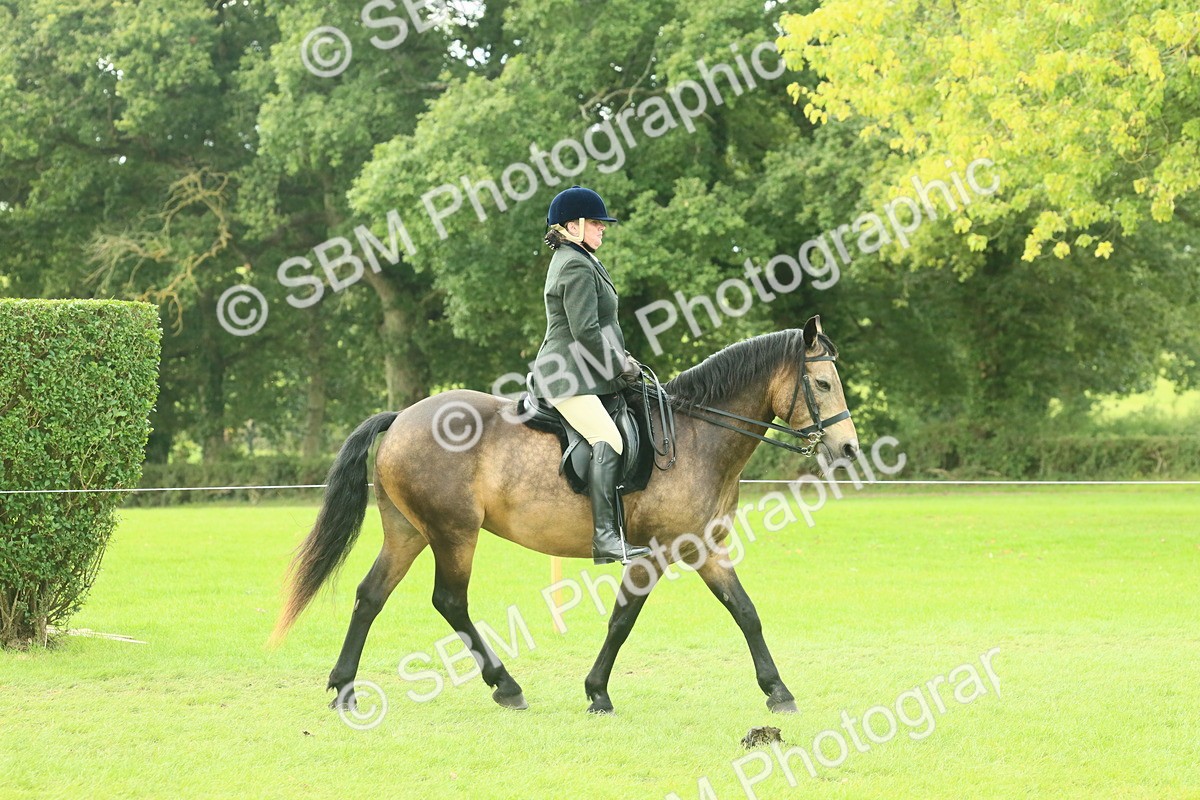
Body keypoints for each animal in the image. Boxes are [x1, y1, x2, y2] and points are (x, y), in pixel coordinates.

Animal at [270, 315, 859, 714]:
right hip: (454, 533)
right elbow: (623, 619)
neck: (697, 435)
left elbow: (746, 612)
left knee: (371, 595)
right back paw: (506, 687)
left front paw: (778, 691)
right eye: (823, 384)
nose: (849, 449)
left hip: (408, 532)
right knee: (449, 602)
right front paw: (597, 693)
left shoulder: (703, 546)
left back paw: (344, 689)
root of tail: (402, 418)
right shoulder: (655, 553)